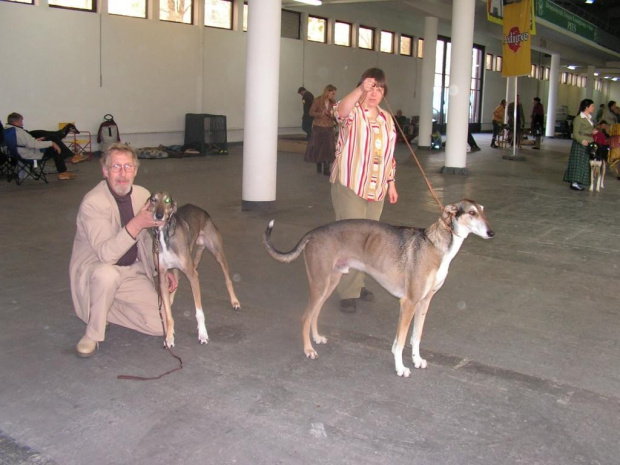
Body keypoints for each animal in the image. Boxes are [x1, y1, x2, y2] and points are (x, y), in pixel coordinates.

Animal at [148, 190, 240, 346]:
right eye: (153, 199)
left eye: (167, 200)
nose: (159, 215)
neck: (165, 235)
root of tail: (202, 210)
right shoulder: (162, 276)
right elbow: (168, 316)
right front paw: (169, 337)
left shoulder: (192, 276)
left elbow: (199, 312)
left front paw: (202, 334)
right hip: (178, 268)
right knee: (176, 282)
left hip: (217, 253)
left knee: (228, 279)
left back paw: (235, 301)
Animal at [262, 198, 494, 376]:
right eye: (471, 212)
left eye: (483, 210)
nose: (491, 232)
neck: (435, 245)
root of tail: (312, 233)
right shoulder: (408, 303)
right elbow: (400, 341)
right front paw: (401, 368)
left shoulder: (424, 302)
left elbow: (415, 336)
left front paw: (417, 360)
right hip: (320, 284)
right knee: (305, 316)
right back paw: (308, 349)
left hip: (329, 283)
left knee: (314, 314)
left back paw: (316, 338)